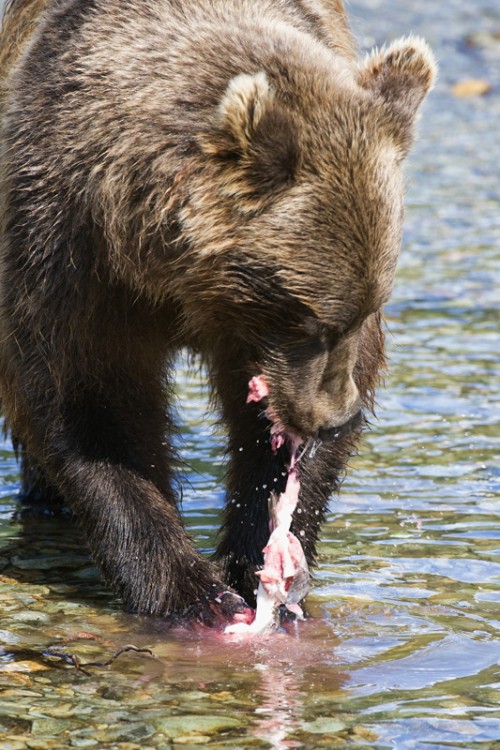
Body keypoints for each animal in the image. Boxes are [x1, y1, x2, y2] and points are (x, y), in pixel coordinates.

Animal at [0, 0, 434, 624]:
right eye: (313, 319)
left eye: (365, 309)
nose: (334, 417)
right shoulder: (74, 261)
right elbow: (89, 405)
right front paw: (189, 589)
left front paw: (254, 559)